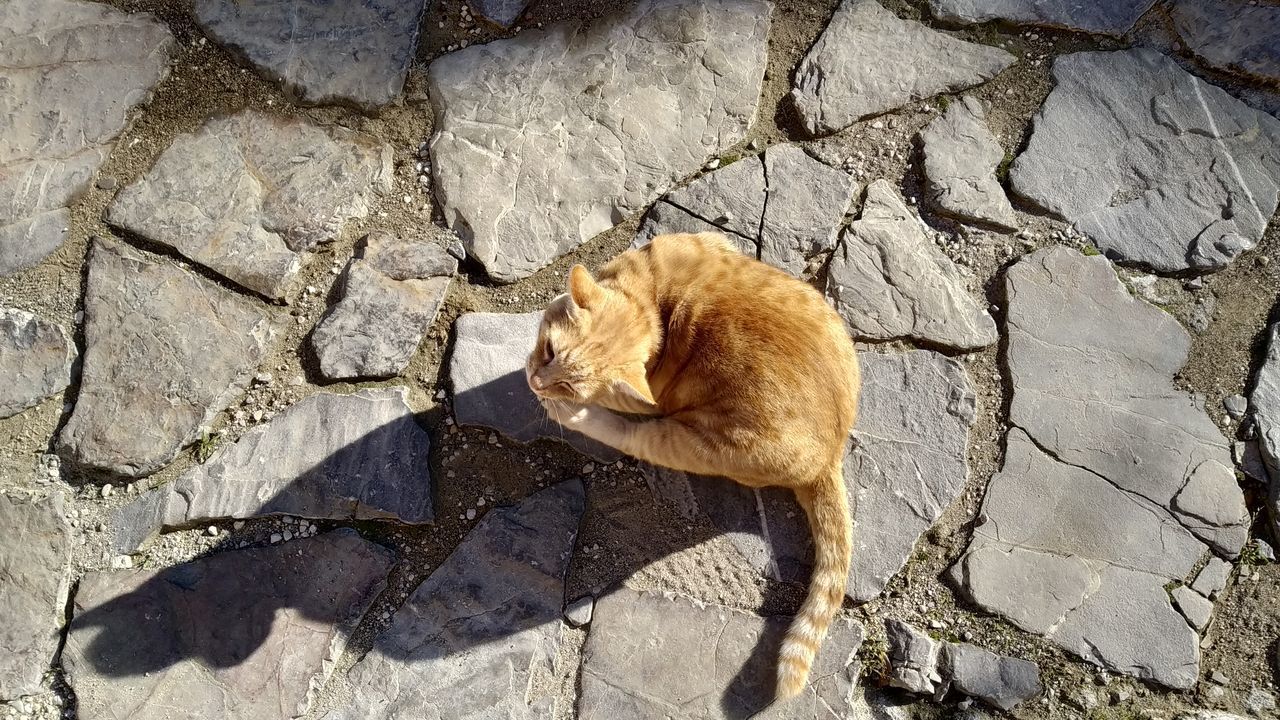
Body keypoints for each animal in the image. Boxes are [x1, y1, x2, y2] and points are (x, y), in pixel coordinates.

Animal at [519, 230, 860, 702]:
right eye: (550, 349)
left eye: (571, 385)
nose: (536, 382)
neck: (652, 300)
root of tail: (831, 455)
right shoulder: (709, 240)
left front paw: (558, 402)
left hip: (688, 440)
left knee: (630, 434)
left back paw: (572, 417)